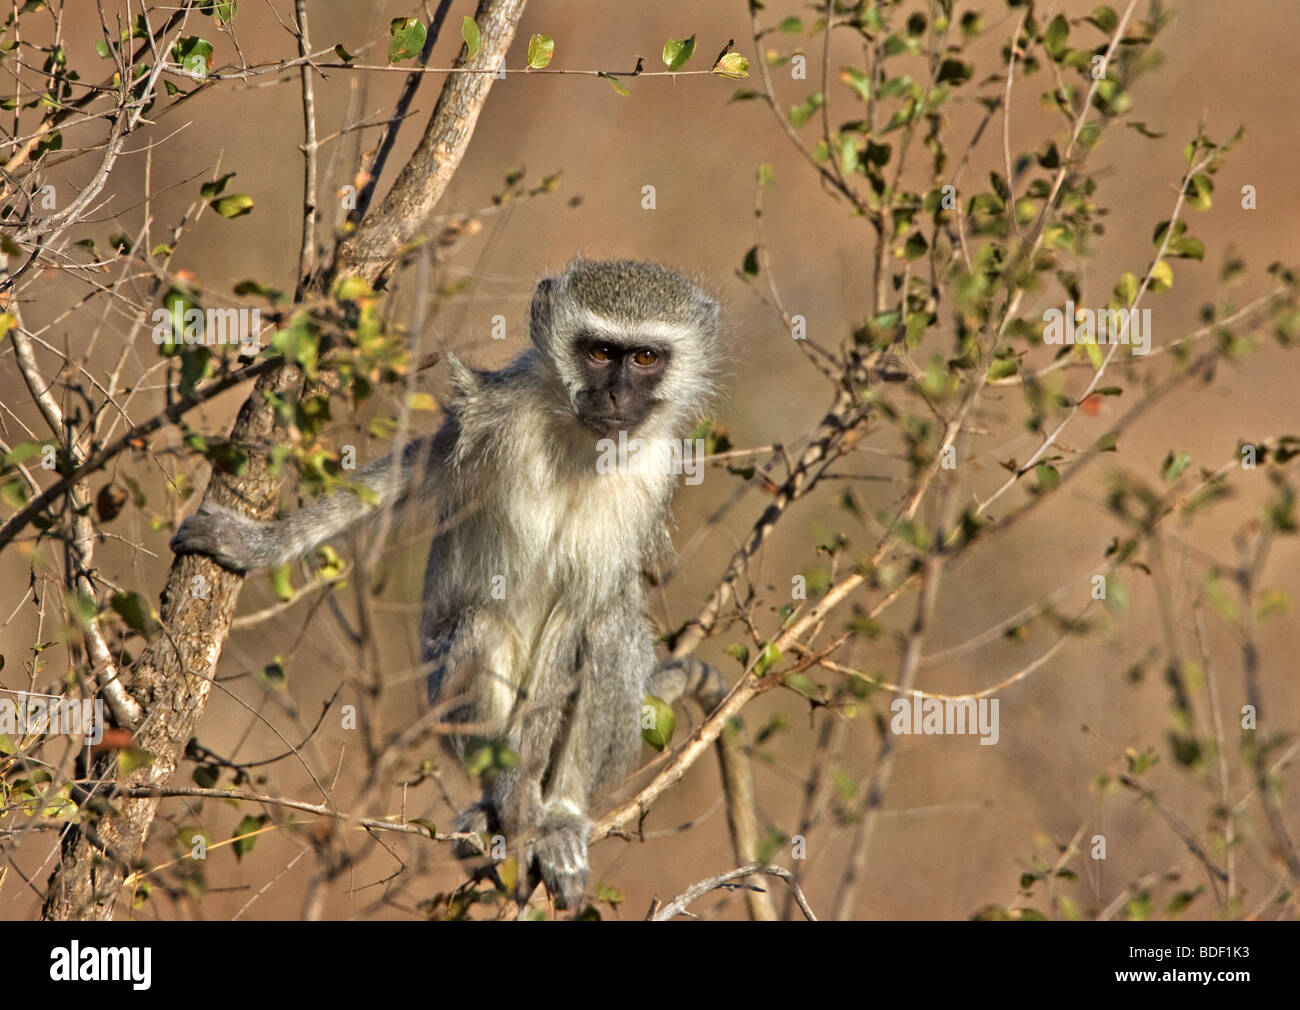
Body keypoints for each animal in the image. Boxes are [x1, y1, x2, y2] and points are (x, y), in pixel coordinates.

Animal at [170, 258, 733, 904]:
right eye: (598, 351)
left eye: (644, 358)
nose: (617, 394)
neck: (580, 439)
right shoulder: (493, 413)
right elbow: (405, 475)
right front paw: (259, 546)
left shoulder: (653, 474)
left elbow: (579, 612)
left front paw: (539, 812)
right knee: (483, 625)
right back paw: (500, 799)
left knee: (609, 627)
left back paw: (558, 815)